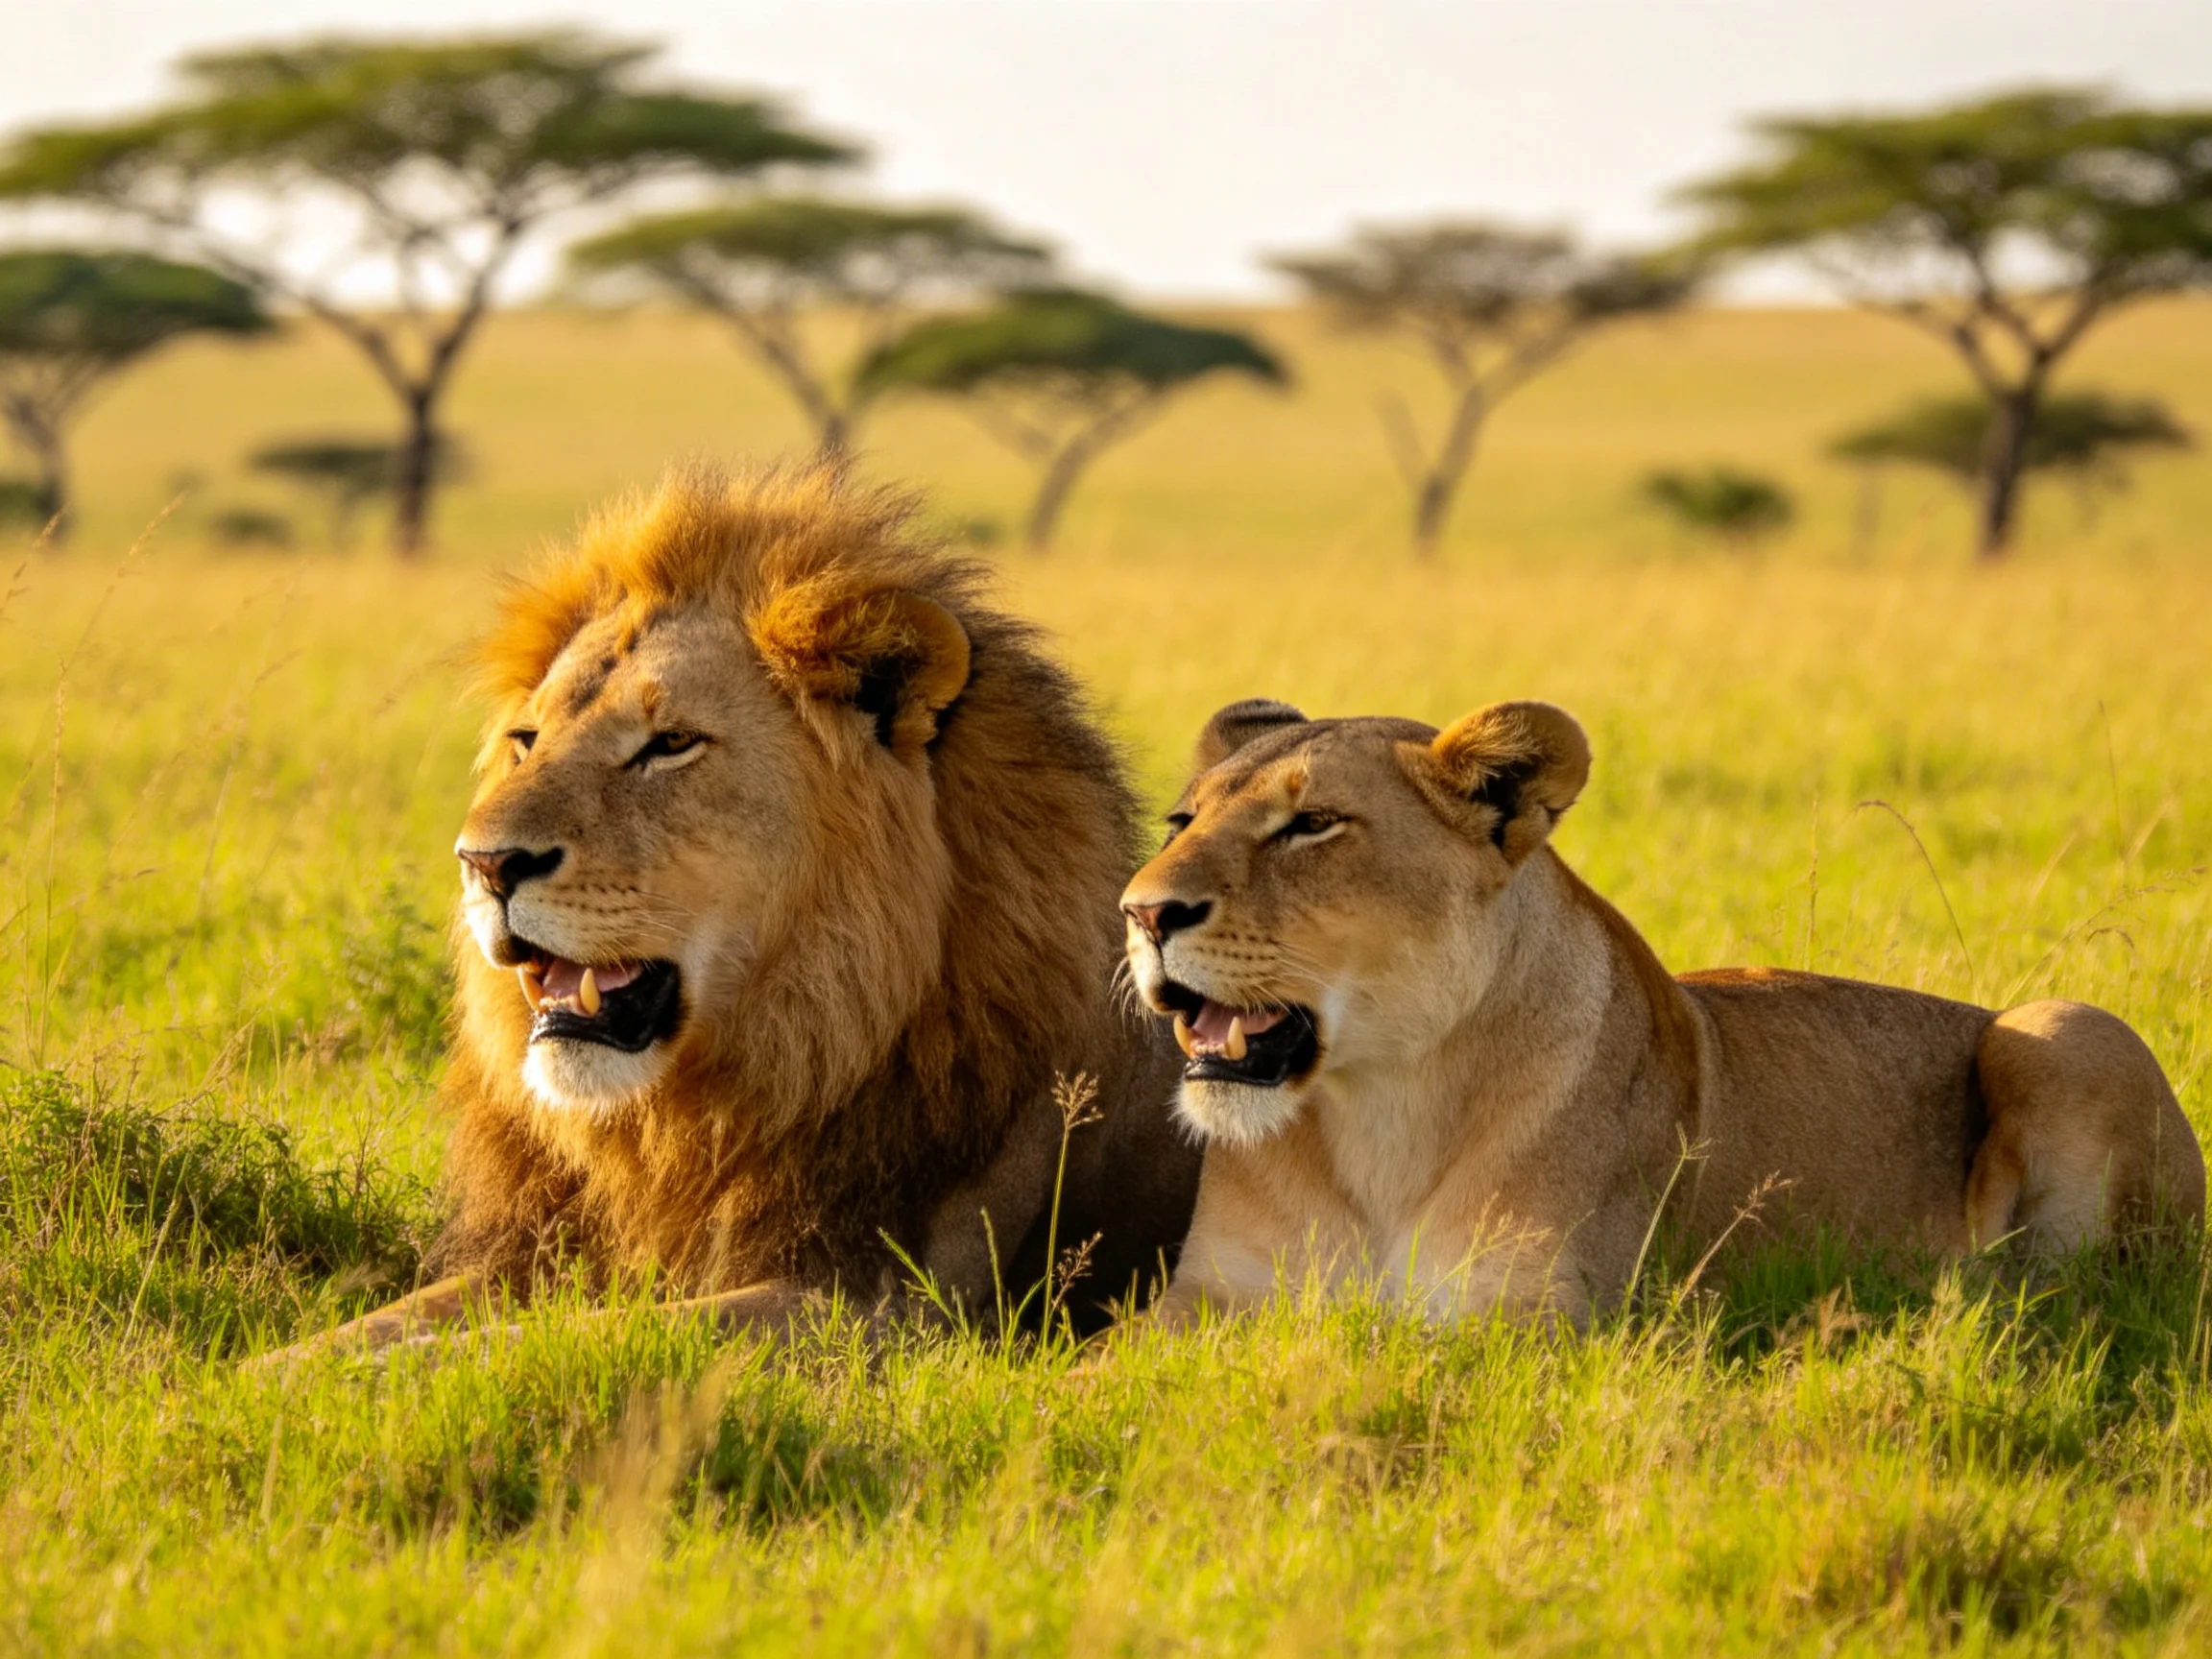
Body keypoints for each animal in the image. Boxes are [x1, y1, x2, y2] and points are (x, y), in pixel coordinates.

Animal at [261, 463, 1197, 1362]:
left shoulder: (888, 1310)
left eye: (670, 744)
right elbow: (362, 1332)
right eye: (526, 742)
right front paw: (259, 1379)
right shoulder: (540, 1251)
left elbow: (567, 1337)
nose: (485, 864)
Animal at [1118, 696, 2203, 1327]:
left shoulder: (1541, 1315)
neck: (1376, 1107)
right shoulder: (1205, 1299)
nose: (1141, 912)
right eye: (1181, 820)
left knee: (2076, 1294)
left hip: (2064, 1027)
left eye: (1311, 825)